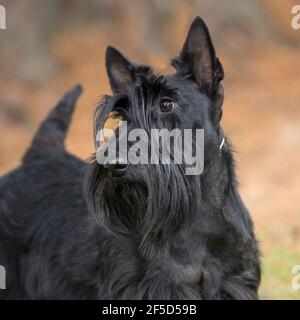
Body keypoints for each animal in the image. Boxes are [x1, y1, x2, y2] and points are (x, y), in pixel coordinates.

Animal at [0, 16, 260, 298]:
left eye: (166, 103)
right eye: (122, 115)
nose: (113, 163)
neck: (197, 218)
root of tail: (38, 156)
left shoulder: (233, 280)